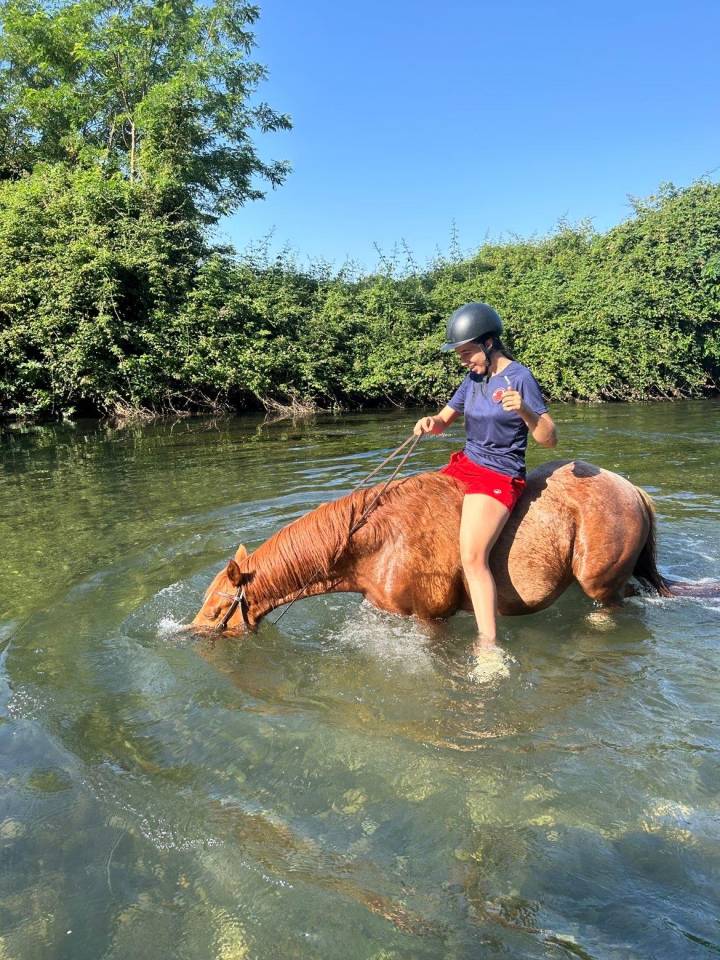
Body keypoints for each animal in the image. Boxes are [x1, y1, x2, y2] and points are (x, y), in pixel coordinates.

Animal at [191, 460, 718, 634]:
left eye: (217, 609)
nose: (192, 636)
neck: (374, 544)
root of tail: (633, 490)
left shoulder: (432, 620)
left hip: (601, 585)